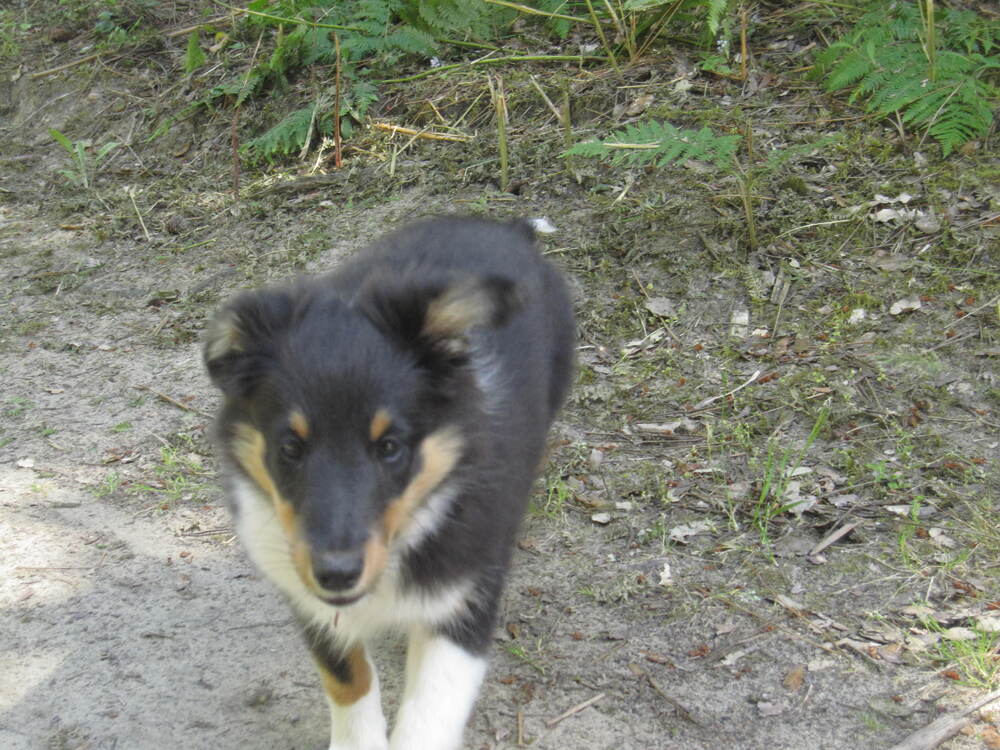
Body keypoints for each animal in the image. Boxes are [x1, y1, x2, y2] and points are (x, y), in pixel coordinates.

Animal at [203, 217, 576, 750]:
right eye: (289, 447)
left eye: (390, 446)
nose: (337, 574)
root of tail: (502, 226)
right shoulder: (310, 602)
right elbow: (348, 678)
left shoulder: (465, 601)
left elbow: (427, 717)